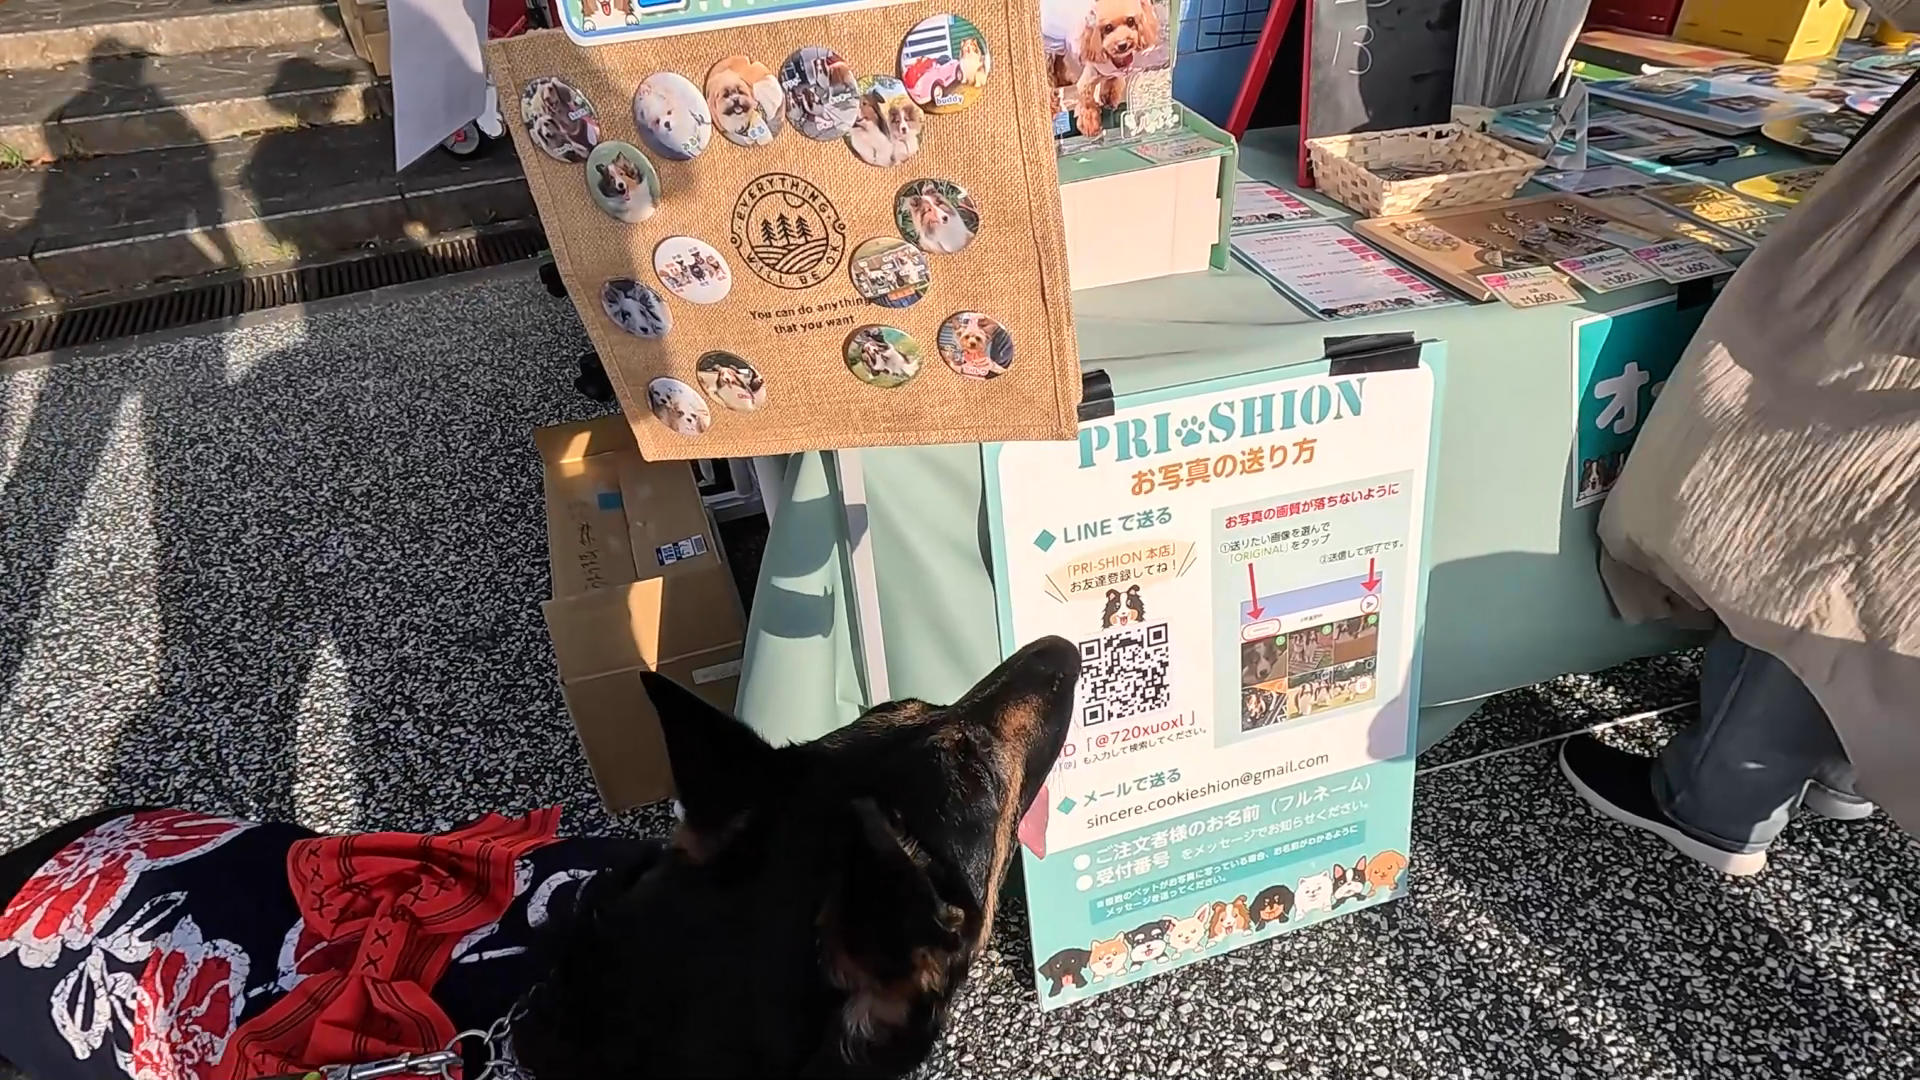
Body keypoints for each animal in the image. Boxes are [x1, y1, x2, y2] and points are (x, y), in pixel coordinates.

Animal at [1040, 0, 1163, 136]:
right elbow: (1087, 101)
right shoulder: (1087, 81)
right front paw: (1090, 126)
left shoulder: (1114, 74)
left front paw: (1109, 100)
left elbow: (1112, 84)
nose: (1122, 45)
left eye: (1130, 21)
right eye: (1108, 28)